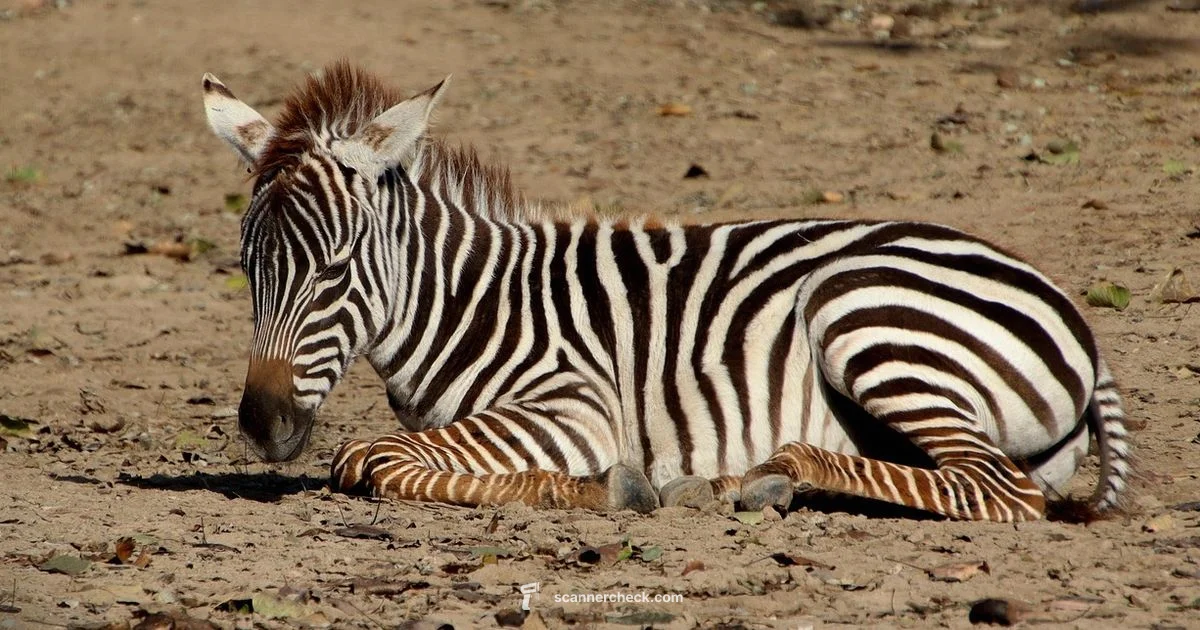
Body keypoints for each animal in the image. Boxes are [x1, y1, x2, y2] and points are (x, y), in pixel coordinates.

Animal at [201, 61, 1132, 522]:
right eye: (249, 270)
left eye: (335, 270)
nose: (262, 426)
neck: (472, 302)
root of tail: (1078, 323)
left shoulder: (577, 405)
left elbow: (372, 459)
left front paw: (606, 488)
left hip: (863, 314)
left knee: (997, 492)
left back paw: (769, 473)